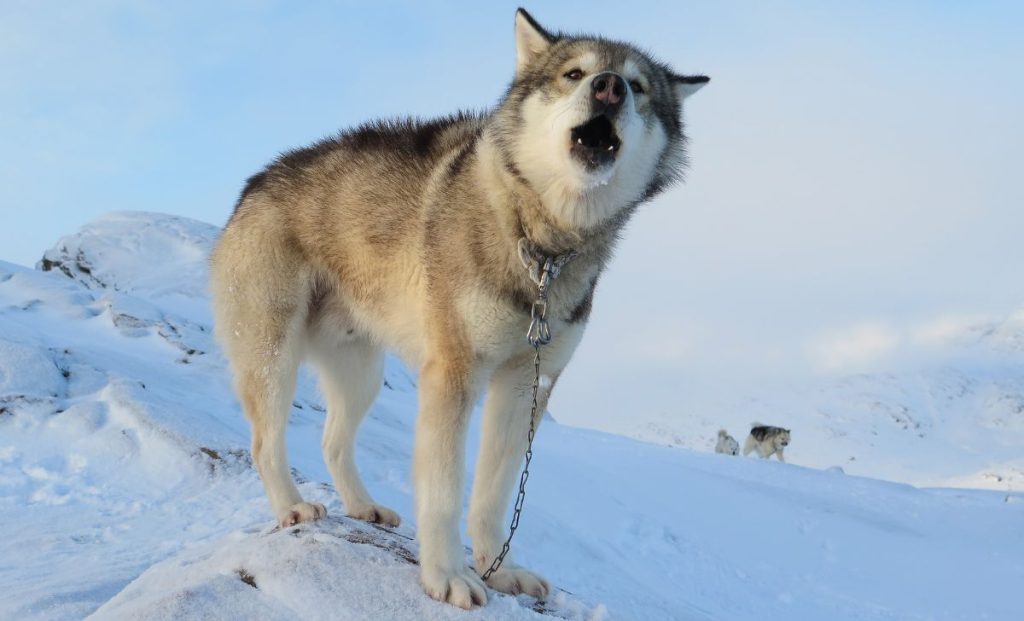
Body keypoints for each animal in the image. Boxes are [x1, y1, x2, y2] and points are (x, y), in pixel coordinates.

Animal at [206, 8, 704, 614]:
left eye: (637, 86)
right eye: (575, 73)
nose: (608, 88)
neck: (539, 243)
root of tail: (255, 183)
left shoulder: (526, 382)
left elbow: (493, 492)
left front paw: (500, 568)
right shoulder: (454, 373)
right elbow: (444, 490)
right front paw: (445, 576)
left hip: (360, 371)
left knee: (332, 440)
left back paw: (363, 506)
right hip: (272, 355)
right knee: (264, 441)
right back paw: (291, 507)